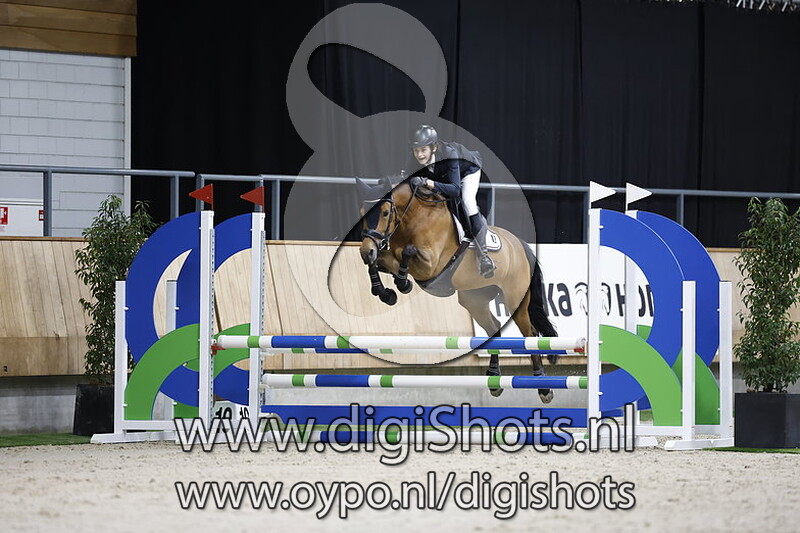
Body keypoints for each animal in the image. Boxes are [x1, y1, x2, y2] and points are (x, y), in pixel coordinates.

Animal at [357, 178, 558, 403]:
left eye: (384, 213)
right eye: (361, 212)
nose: (366, 251)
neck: (412, 218)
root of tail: (520, 245)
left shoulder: (431, 266)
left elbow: (406, 251)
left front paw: (402, 283)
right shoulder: (387, 256)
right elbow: (378, 262)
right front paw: (386, 292)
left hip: (515, 299)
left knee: (530, 333)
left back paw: (543, 387)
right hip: (474, 300)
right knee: (494, 327)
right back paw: (494, 377)